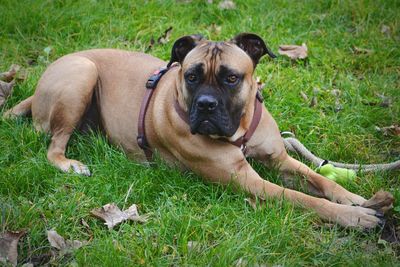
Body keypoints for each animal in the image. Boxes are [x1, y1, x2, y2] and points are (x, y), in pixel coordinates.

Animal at [3, 33, 394, 228]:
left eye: (231, 78)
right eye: (191, 75)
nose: (206, 105)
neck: (239, 132)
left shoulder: (279, 159)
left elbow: (321, 181)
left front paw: (356, 199)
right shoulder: (250, 182)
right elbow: (306, 199)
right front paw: (356, 217)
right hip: (81, 75)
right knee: (54, 145)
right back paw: (70, 163)